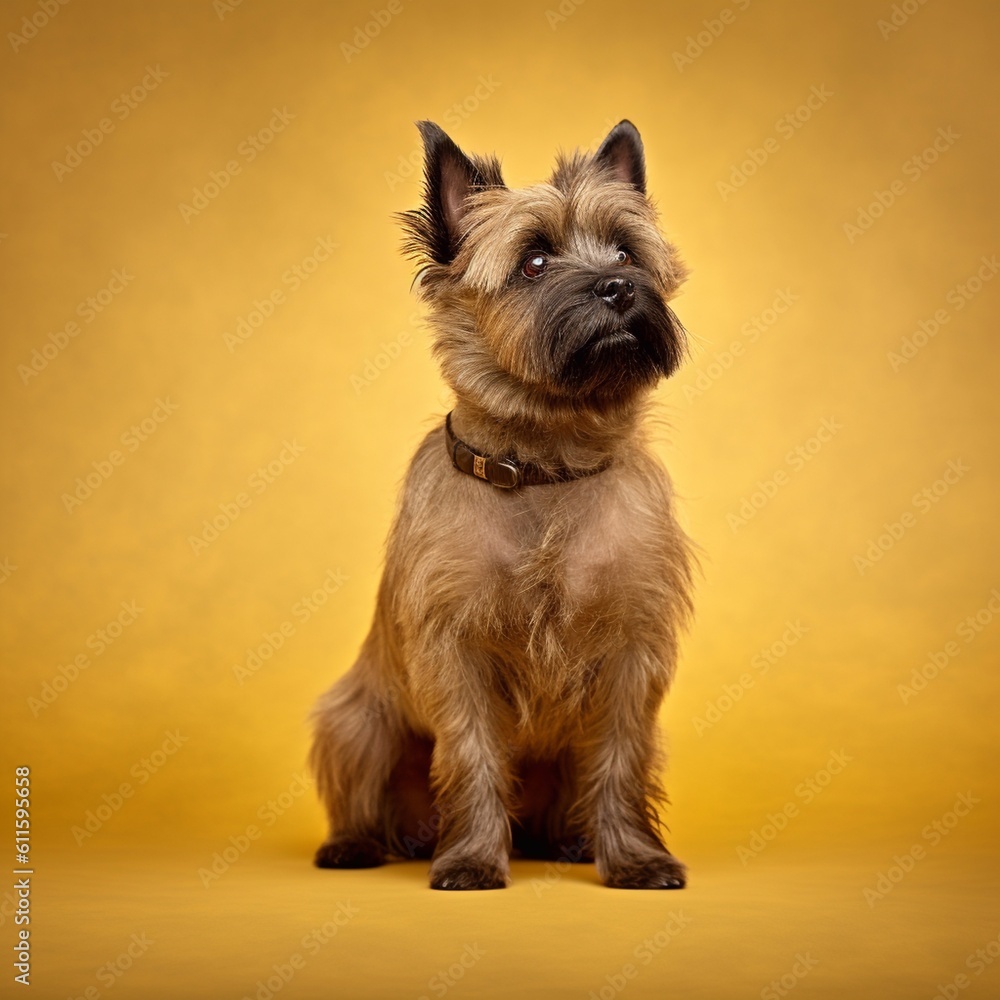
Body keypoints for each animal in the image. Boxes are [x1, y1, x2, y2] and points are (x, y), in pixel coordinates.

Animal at [308, 119, 692, 892]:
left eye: (627, 251)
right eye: (534, 262)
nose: (617, 288)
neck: (547, 466)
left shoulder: (632, 655)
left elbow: (622, 760)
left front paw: (634, 859)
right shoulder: (458, 655)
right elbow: (472, 757)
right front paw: (472, 860)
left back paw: (571, 841)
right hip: (354, 722)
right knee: (362, 799)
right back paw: (356, 844)